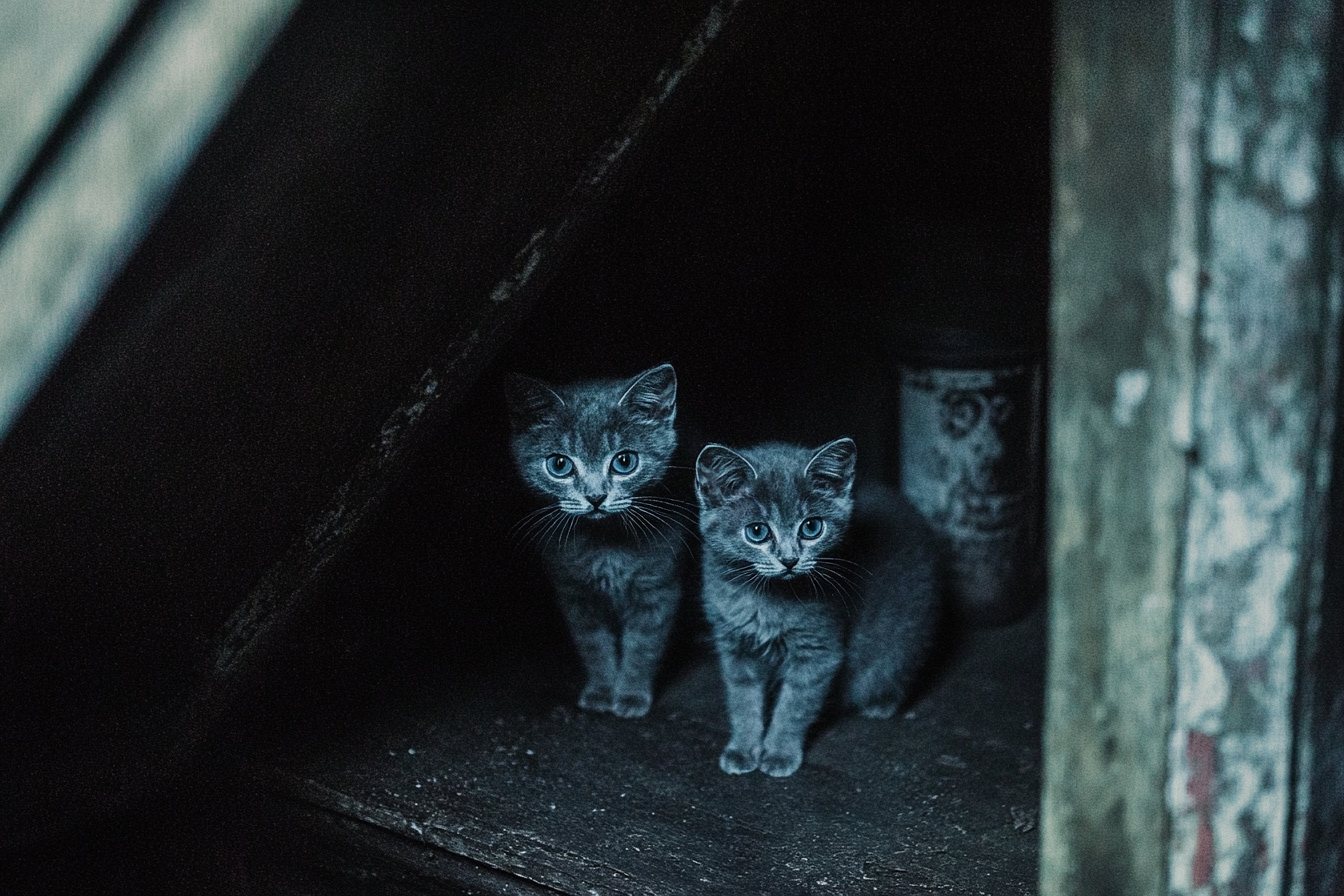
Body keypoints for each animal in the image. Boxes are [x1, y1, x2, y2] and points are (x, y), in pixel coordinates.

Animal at [505, 360, 693, 720]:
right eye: (559, 464)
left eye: (624, 461)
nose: (595, 497)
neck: (606, 544)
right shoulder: (575, 592)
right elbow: (593, 645)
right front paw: (601, 692)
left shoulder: (658, 589)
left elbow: (643, 646)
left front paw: (631, 696)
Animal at [698, 440, 940, 779]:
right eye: (757, 532)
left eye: (811, 527)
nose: (789, 560)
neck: (768, 600)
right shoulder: (735, 646)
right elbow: (742, 699)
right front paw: (742, 749)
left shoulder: (818, 650)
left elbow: (794, 705)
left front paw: (780, 753)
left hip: (907, 632)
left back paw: (880, 704)